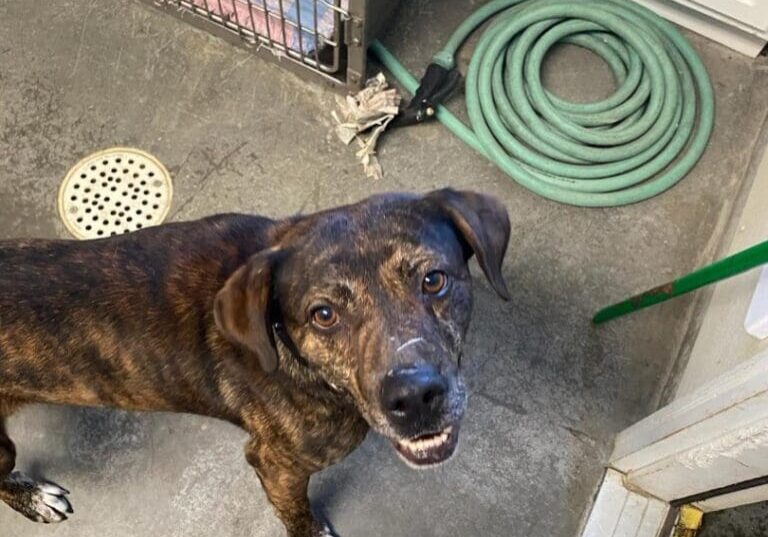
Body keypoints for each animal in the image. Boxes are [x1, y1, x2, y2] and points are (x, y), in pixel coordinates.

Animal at [0, 188, 510, 536]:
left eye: (434, 280)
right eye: (324, 315)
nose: (416, 397)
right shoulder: (275, 463)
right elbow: (296, 511)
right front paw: (312, 532)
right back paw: (35, 498)